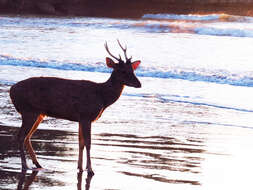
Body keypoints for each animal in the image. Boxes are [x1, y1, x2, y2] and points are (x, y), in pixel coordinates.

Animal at [9, 39, 140, 175]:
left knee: (27, 137)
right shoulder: (86, 115)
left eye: (132, 69)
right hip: (28, 110)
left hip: (39, 113)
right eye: (122, 71)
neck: (102, 96)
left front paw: (80, 167)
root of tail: (11, 90)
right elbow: (88, 143)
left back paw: (38, 164)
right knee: (21, 136)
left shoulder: (81, 118)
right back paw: (25, 165)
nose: (139, 84)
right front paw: (90, 169)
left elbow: (81, 143)